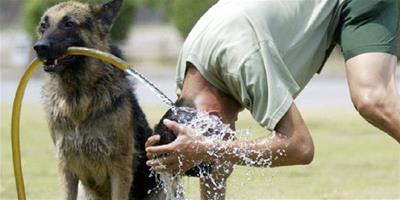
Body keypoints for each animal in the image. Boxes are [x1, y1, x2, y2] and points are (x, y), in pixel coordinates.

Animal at [32, 0, 161, 200]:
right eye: (43, 25)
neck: (77, 97)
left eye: (69, 24)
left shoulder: (120, 169)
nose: (39, 47)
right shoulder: (66, 168)